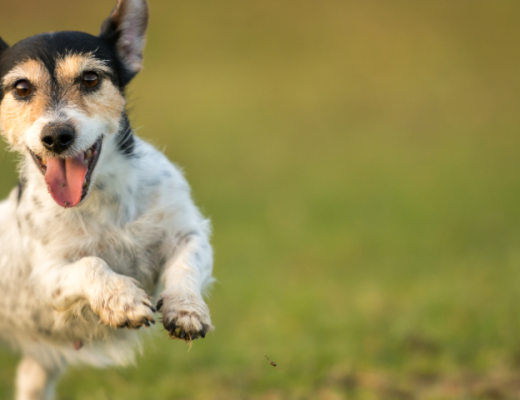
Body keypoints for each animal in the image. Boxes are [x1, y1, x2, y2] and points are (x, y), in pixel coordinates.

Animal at [0, 1, 215, 398]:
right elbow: (91, 264)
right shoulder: (48, 277)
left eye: (90, 79)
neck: (101, 203)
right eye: (21, 88)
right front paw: (123, 300)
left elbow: (186, 266)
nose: (57, 135)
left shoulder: (189, 233)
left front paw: (186, 309)